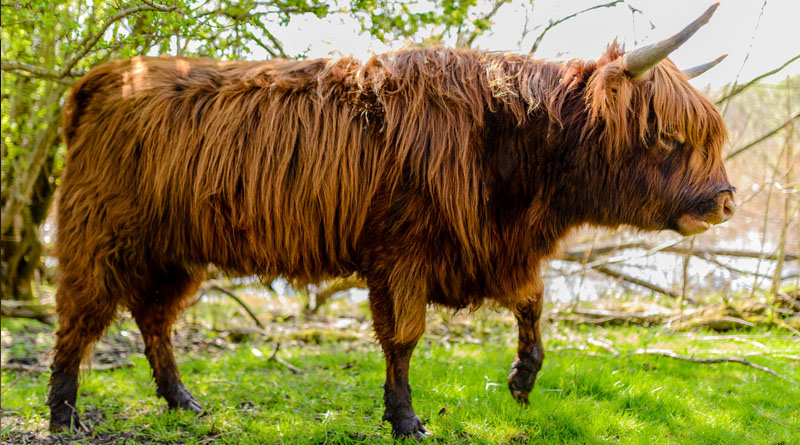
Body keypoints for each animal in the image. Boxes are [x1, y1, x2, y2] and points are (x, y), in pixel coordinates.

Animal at [50, 3, 736, 438]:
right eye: (669, 135)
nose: (726, 201)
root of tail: (102, 78)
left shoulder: (492, 247)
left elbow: (534, 303)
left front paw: (521, 380)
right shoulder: (404, 252)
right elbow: (404, 337)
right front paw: (406, 420)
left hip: (175, 249)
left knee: (154, 320)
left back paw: (184, 402)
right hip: (100, 234)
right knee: (80, 321)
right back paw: (63, 415)